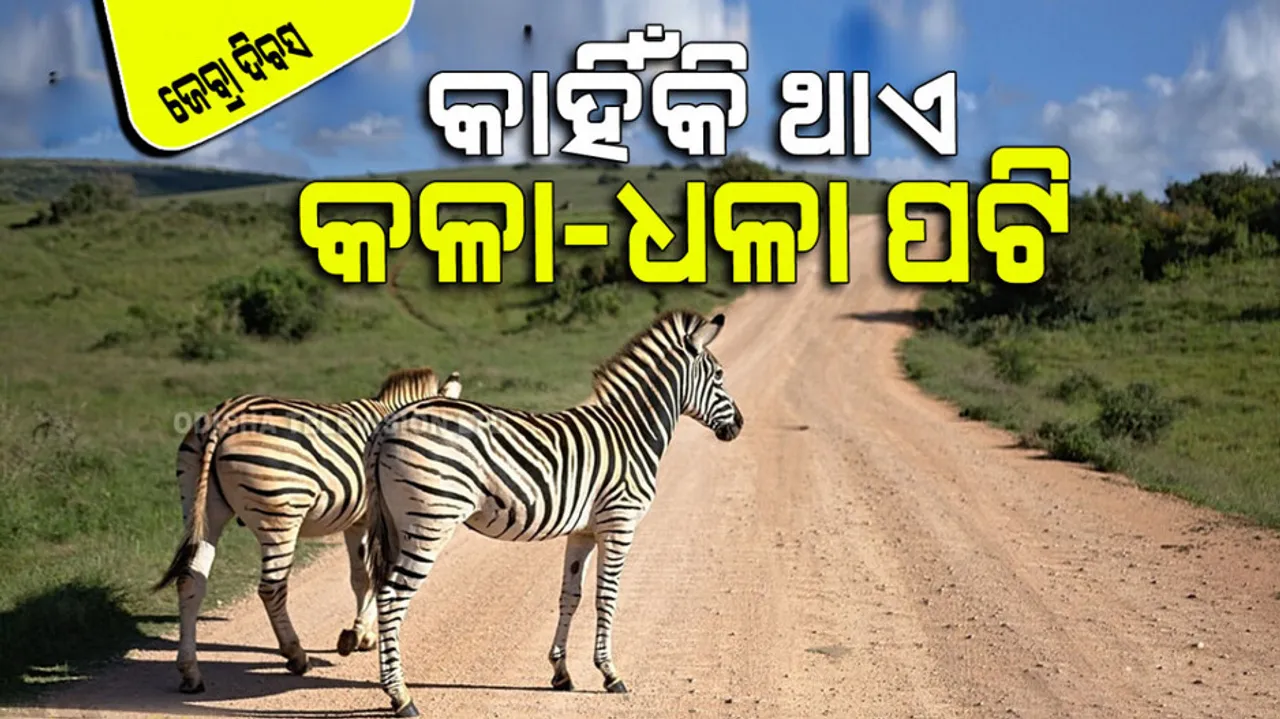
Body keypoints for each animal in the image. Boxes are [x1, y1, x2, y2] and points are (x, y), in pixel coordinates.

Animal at [153, 367, 463, 694]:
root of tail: (222, 419)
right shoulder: (378, 519)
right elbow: (376, 576)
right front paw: (359, 634)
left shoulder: (358, 521)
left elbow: (361, 577)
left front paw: (360, 635)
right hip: (279, 514)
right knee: (272, 588)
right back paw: (296, 655)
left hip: (201, 509)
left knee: (190, 581)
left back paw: (190, 672)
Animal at [364, 310, 744, 717]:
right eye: (719, 376)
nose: (739, 425)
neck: (632, 432)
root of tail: (389, 423)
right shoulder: (619, 522)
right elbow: (607, 595)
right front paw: (610, 674)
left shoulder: (584, 531)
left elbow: (570, 595)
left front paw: (561, 673)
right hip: (430, 522)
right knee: (392, 597)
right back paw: (401, 696)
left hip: (397, 524)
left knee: (382, 590)